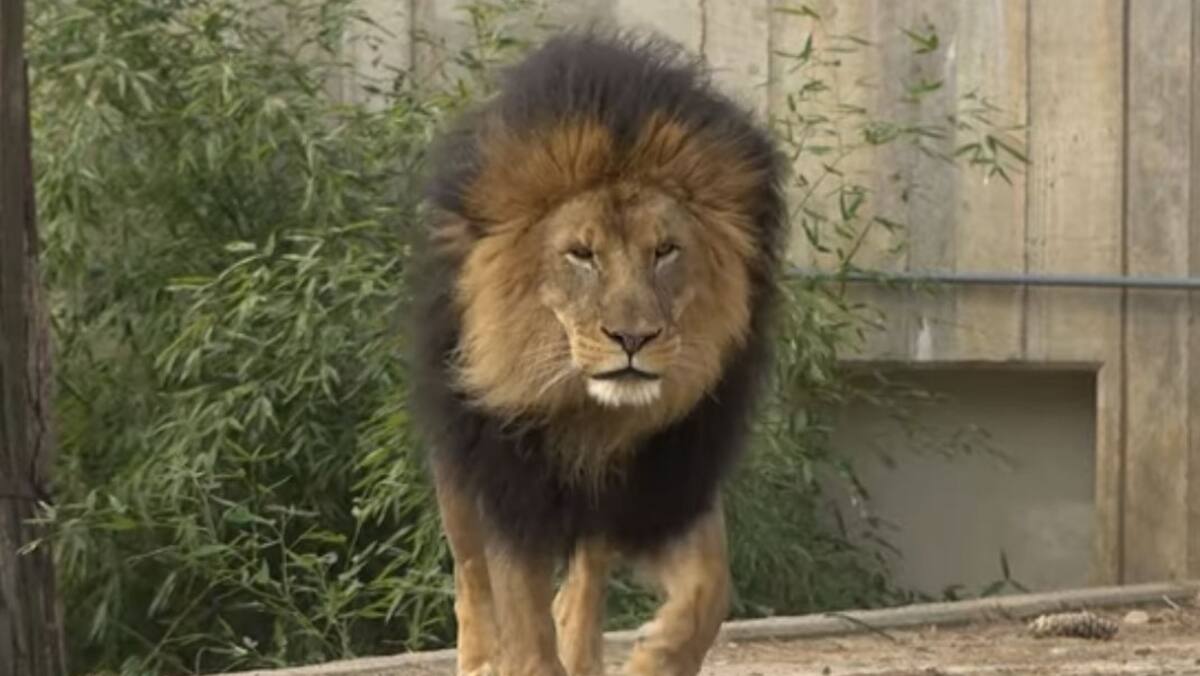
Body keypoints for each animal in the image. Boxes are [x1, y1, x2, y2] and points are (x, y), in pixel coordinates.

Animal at [410, 29, 787, 676]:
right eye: (581, 255)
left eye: (665, 251)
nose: (633, 339)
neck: (592, 415)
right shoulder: (513, 484)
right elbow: (521, 622)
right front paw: (523, 655)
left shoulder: (669, 480)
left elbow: (709, 589)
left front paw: (655, 657)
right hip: (459, 464)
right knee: (471, 572)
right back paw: (482, 659)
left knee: (588, 569)